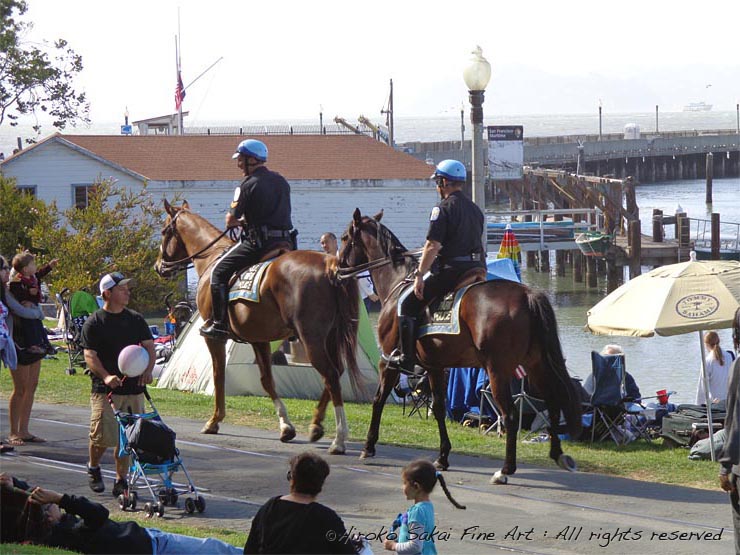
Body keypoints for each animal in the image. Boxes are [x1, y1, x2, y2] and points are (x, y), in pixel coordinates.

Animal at [155, 202, 362, 454]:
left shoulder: (215, 338)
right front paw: (286, 426)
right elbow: (267, 380)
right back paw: (316, 426)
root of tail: (330, 265)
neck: (212, 257)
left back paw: (339, 438)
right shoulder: (258, 338)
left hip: (311, 338)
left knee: (330, 375)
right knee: (335, 373)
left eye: (164, 231)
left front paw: (214, 420)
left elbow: (218, 375)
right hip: (330, 337)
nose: (158, 266)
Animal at [338, 211, 580, 484]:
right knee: (552, 401)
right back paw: (557, 454)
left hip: (498, 370)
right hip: (535, 364)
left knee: (509, 414)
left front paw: (369, 446)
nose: (337, 268)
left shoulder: (388, 361)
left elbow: (378, 399)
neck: (398, 281)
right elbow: (438, 408)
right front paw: (443, 457)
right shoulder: (434, 366)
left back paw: (506, 469)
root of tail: (528, 294)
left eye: (345, 238)